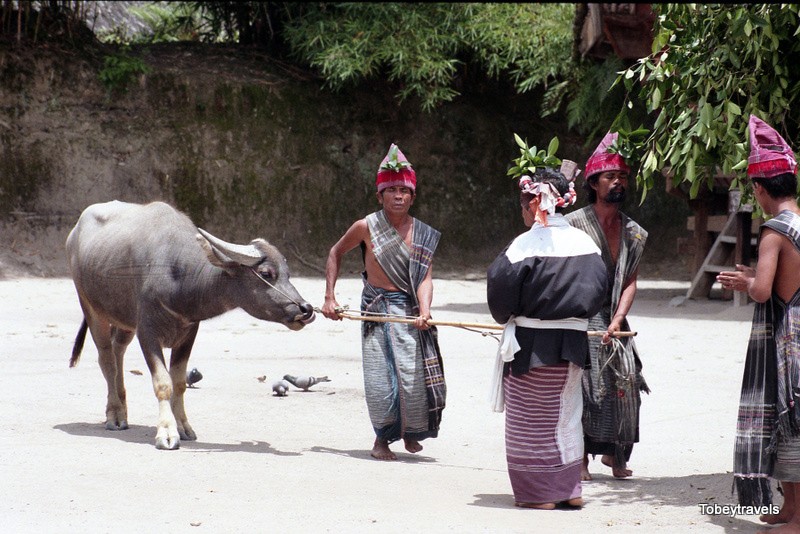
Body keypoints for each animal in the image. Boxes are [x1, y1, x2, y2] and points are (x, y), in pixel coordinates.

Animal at [66, 202, 316, 452]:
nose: (306, 309)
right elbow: (163, 383)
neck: (178, 275)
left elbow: (179, 383)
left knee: (118, 350)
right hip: (91, 308)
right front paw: (166, 433)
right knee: (106, 359)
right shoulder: (147, 332)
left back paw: (123, 411)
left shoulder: (188, 334)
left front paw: (183, 427)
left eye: (288, 274)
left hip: (124, 320)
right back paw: (114, 415)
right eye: (266, 273)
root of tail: (74, 233)